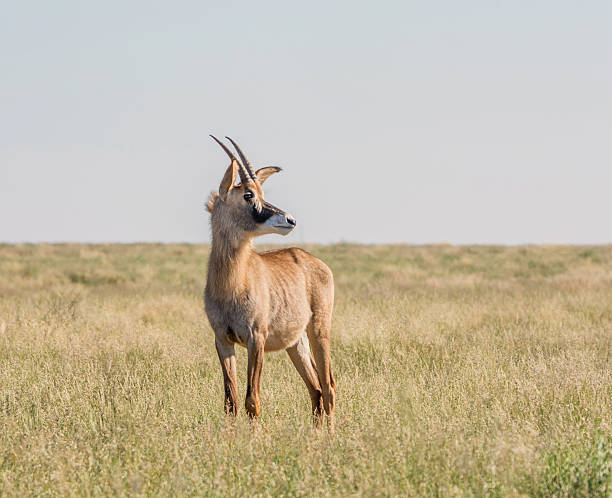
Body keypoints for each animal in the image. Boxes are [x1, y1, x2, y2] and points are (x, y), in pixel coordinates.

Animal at [203, 135, 338, 428]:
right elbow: (230, 402)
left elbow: (252, 400)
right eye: (248, 194)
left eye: (260, 193)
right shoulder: (223, 340)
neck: (232, 283)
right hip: (296, 343)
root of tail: (314, 261)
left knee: (328, 386)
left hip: (319, 330)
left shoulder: (257, 339)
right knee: (315, 389)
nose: (290, 220)